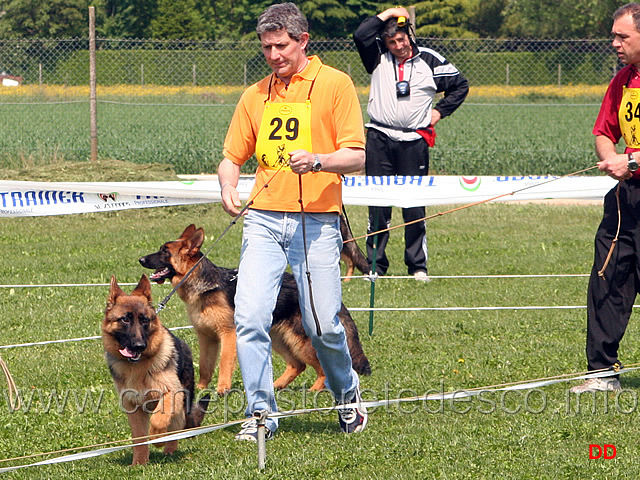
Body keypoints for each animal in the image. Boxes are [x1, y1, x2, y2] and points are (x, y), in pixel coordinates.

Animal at [101, 276, 209, 466]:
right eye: (125, 320)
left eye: (145, 320)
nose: (139, 346)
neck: (138, 366)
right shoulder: (133, 408)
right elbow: (139, 438)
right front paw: (139, 463)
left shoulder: (172, 393)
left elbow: (159, 418)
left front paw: (157, 438)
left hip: (181, 403)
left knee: (177, 425)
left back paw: (168, 448)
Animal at [140, 223, 370, 396]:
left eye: (164, 251)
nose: (140, 259)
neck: (204, 283)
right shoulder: (206, 337)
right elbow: (205, 365)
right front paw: (201, 388)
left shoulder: (229, 335)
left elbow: (224, 363)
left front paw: (222, 389)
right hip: (279, 338)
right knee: (298, 365)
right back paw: (275, 386)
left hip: (299, 340)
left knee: (322, 365)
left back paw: (316, 389)